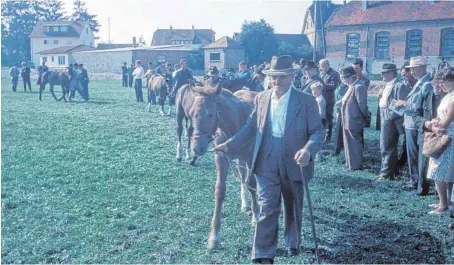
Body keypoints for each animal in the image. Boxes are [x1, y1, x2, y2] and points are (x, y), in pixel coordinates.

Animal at [183, 82, 258, 248]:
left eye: (210, 114)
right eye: (191, 114)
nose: (197, 147)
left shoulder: (251, 158)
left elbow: (252, 184)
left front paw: (256, 219)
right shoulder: (221, 158)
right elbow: (219, 191)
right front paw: (214, 236)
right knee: (242, 176)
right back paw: (245, 204)